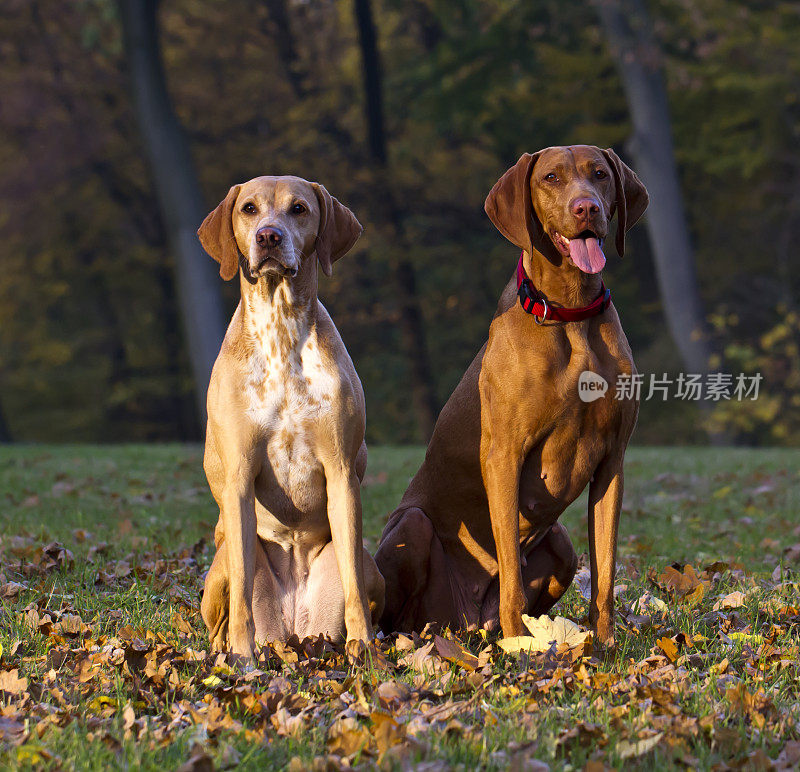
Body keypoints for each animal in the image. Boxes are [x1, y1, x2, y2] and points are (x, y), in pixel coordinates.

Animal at [376, 146, 648, 644]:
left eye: (600, 174)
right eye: (551, 178)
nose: (587, 208)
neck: (569, 313)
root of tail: (463, 622)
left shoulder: (612, 460)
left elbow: (605, 569)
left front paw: (605, 642)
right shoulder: (504, 454)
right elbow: (511, 572)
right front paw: (520, 643)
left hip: (560, 542)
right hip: (413, 526)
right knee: (401, 615)